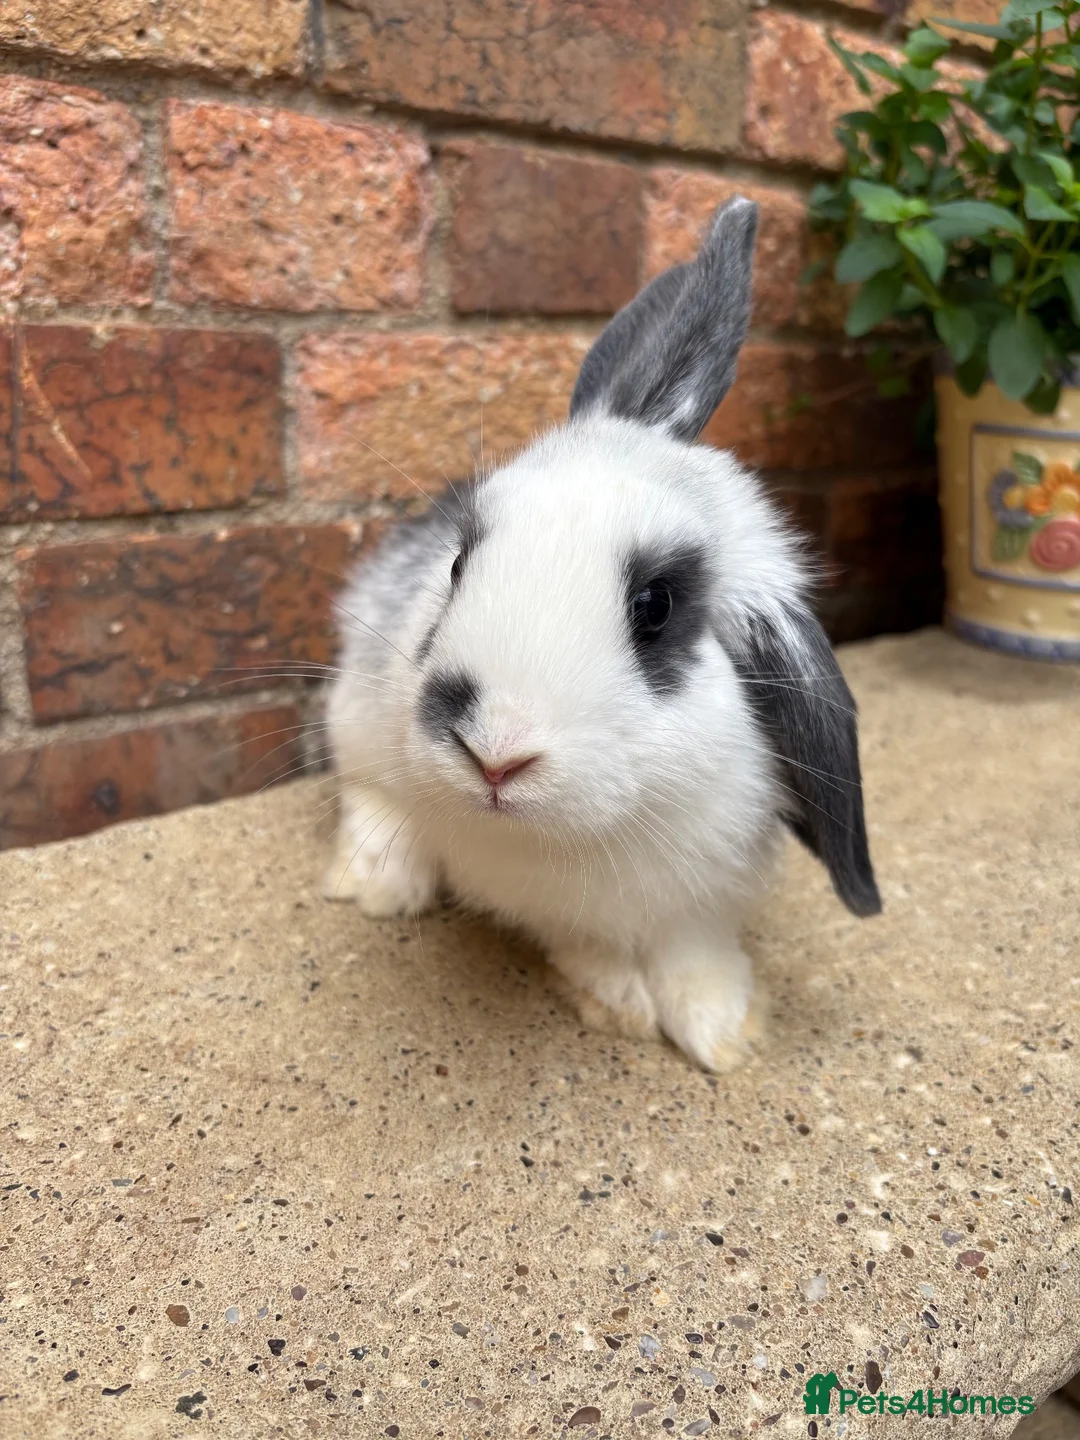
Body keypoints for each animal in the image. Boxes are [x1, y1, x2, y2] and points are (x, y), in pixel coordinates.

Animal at [322, 195, 880, 1073]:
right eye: (459, 564)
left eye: (656, 606)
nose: (494, 753)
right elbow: (590, 945)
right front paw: (621, 1005)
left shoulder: (707, 891)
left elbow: (693, 949)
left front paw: (723, 1033)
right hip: (358, 711)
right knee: (368, 791)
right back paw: (379, 884)